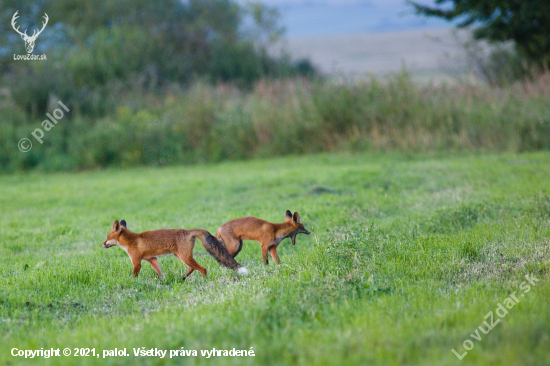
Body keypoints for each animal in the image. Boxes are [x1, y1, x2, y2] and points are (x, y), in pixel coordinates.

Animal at [102, 220, 249, 280]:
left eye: (107, 237)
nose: (102, 244)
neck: (131, 240)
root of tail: (188, 231)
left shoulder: (137, 262)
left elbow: (134, 275)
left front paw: (133, 282)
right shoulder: (152, 259)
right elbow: (160, 273)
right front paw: (164, 282)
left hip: (184, 257)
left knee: (203, 269)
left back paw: (204, 280)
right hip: (180, 256)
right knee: (192, 268)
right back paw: (183, 278)